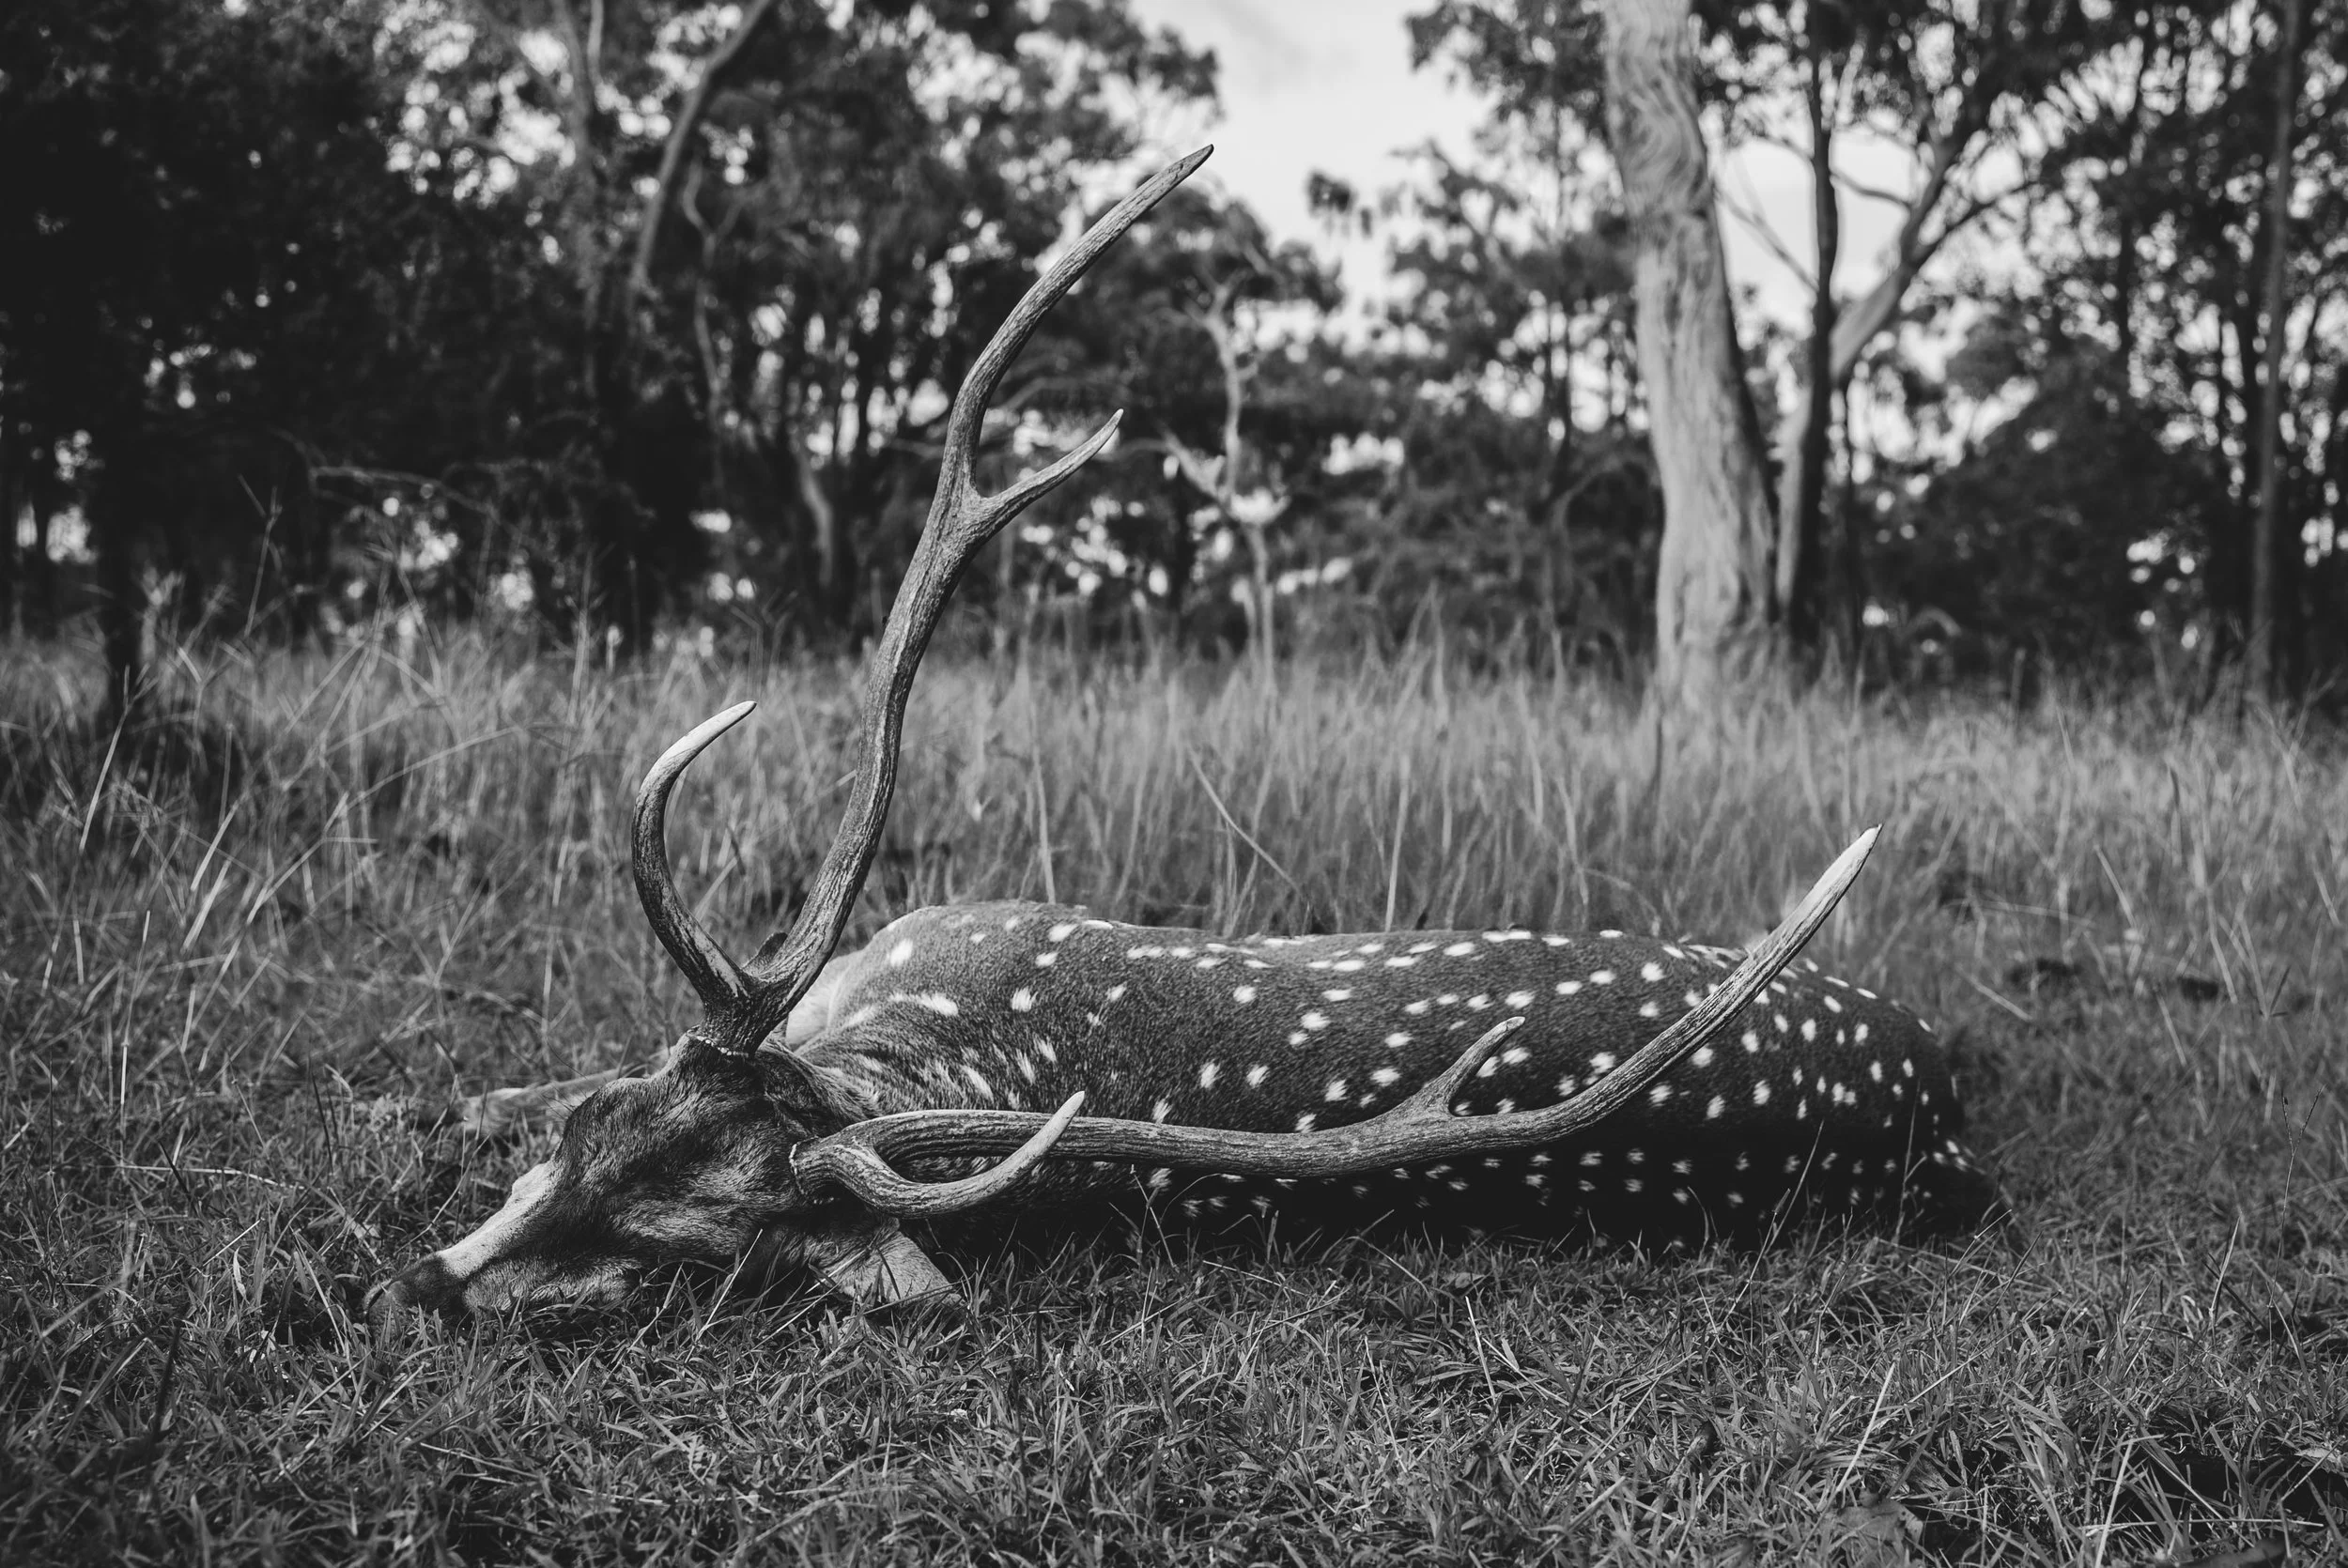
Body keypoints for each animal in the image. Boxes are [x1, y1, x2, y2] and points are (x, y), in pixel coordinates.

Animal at [368, 148, 2003, 1329]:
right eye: (596, 1144)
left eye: (676, 1254)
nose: (404, 1289)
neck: (900, 1055)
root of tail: (1942, 1105)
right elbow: (508, 1078)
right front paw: (429, 1099)